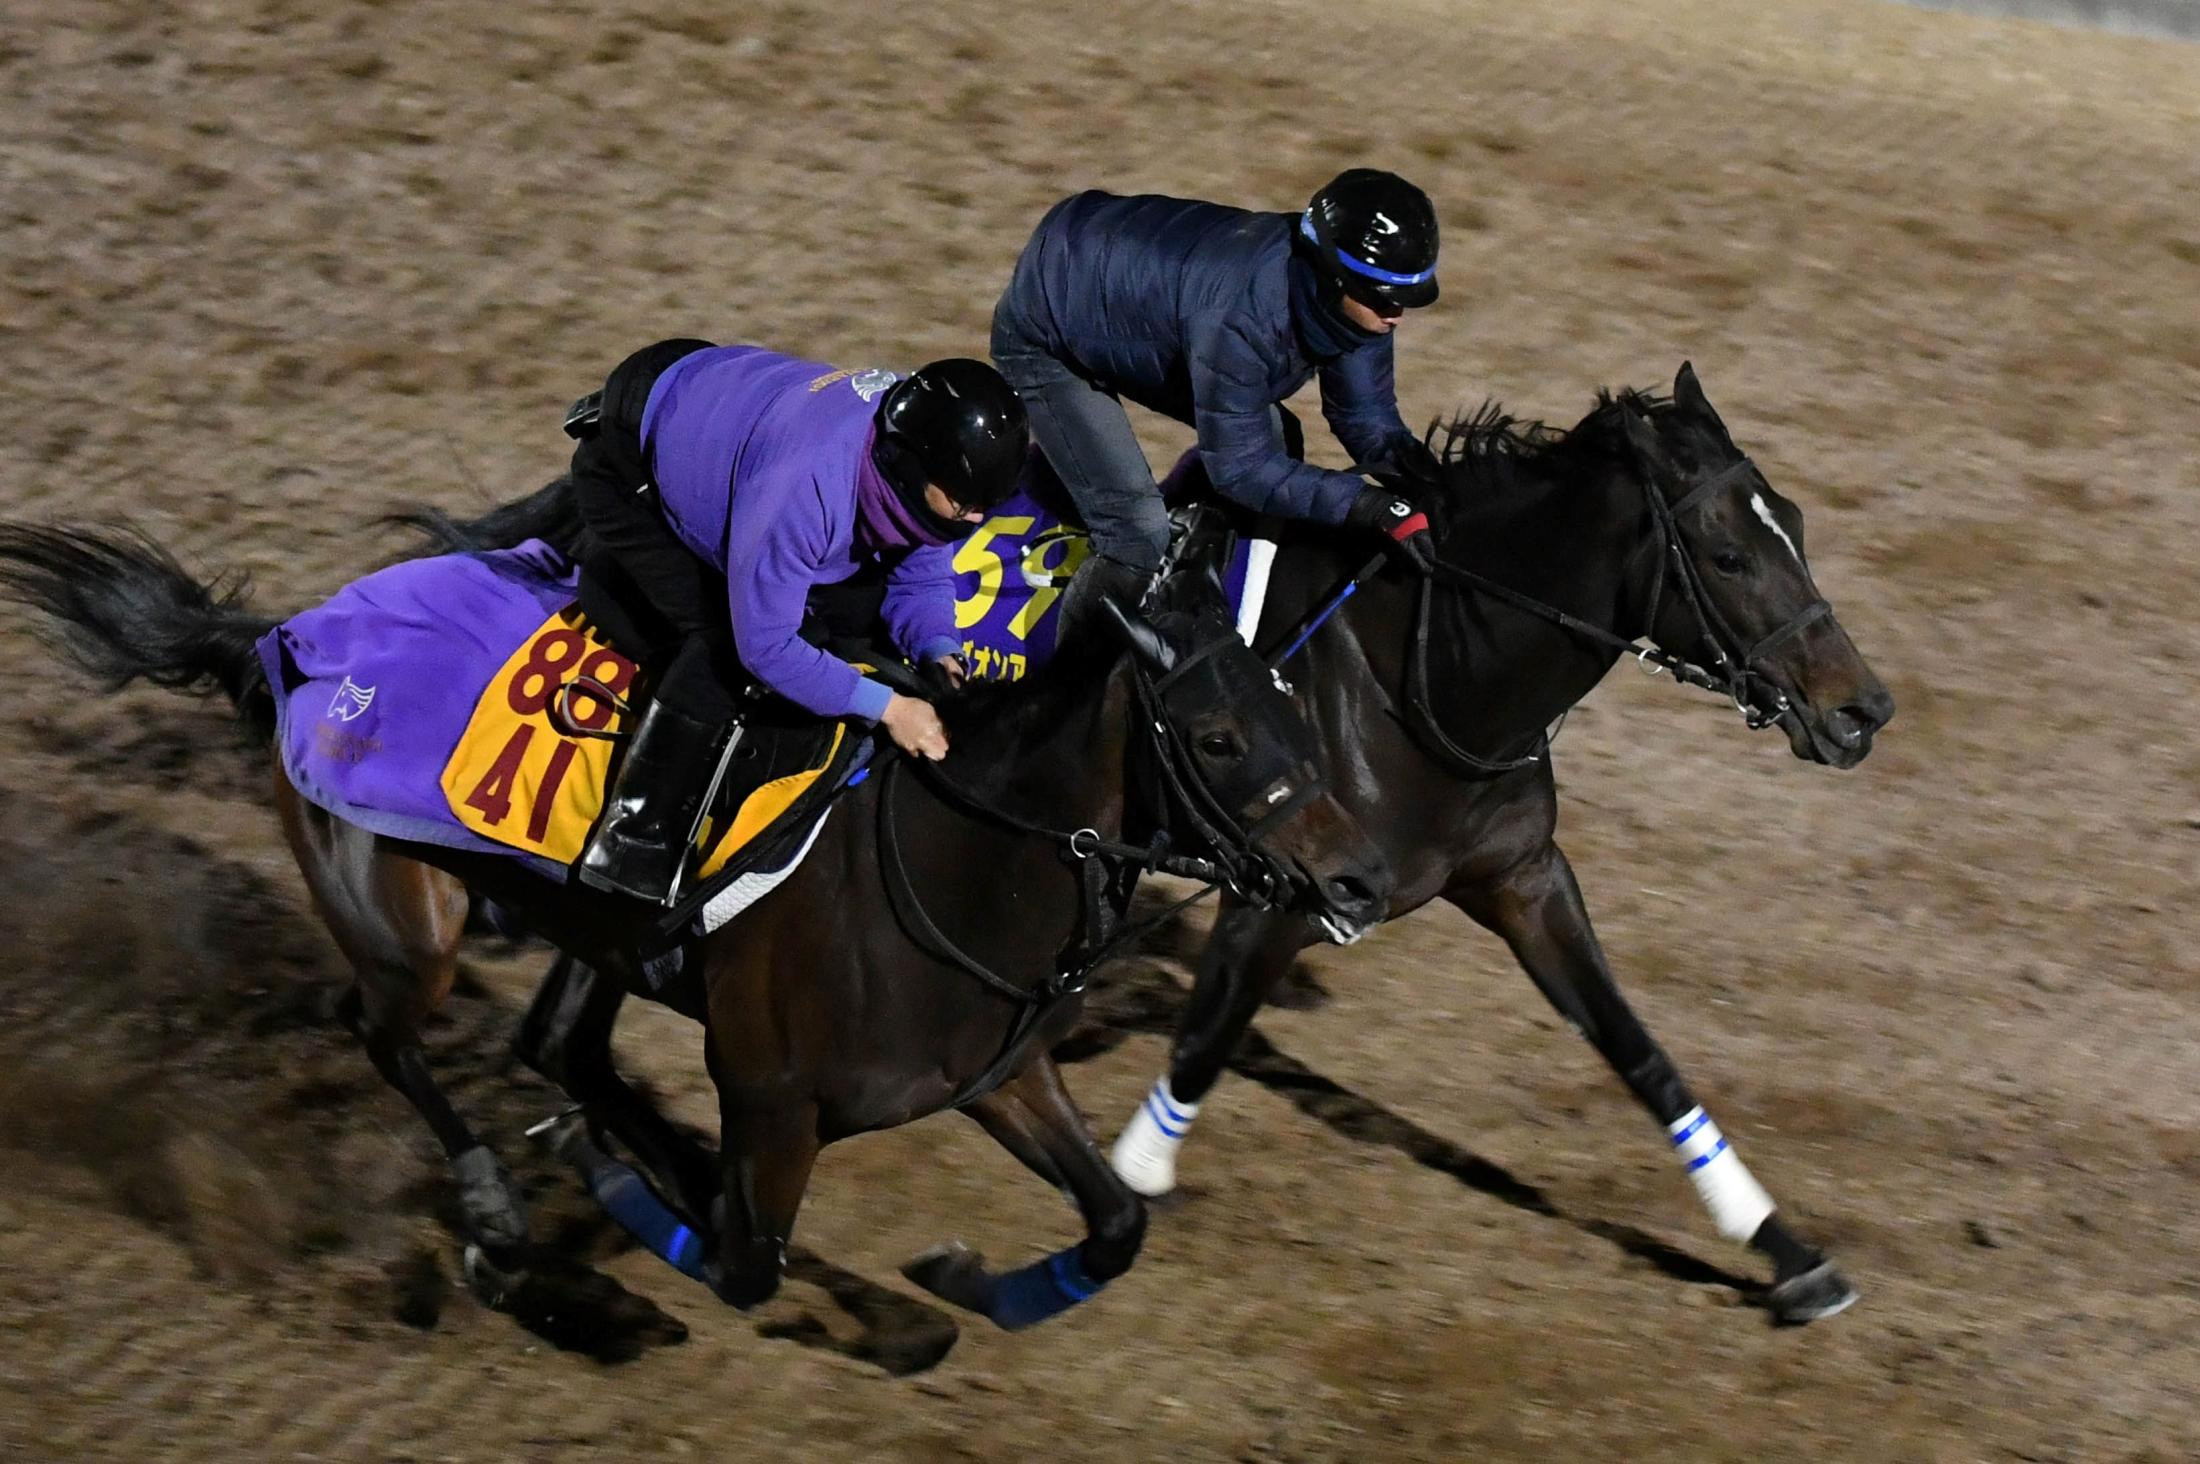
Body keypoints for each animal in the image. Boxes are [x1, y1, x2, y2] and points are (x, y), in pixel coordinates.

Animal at [0, 530, 1381, 1329]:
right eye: (1216, 738)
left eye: (1290, 704)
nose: (1360, 878)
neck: (952, 861)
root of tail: (287, 641)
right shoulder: (772, 1100)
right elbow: (742, 1264)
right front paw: (619, 1193)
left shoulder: (995, 1075)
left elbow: (1114, 1228)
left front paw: (958, 1279)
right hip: (405, 928)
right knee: (385, 1035)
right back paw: (500, 1211)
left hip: (594, 937)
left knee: (561, 1044)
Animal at [1108, 358, 1900, 1320]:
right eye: (1729, 556)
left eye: (1794, 522)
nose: (1861, 711)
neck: (1419, 678)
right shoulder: (1283, 896)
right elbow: (1202, 1043)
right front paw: (1132, 1178)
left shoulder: (1524, 879)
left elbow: (1638, 1050)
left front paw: (1782, 1248)